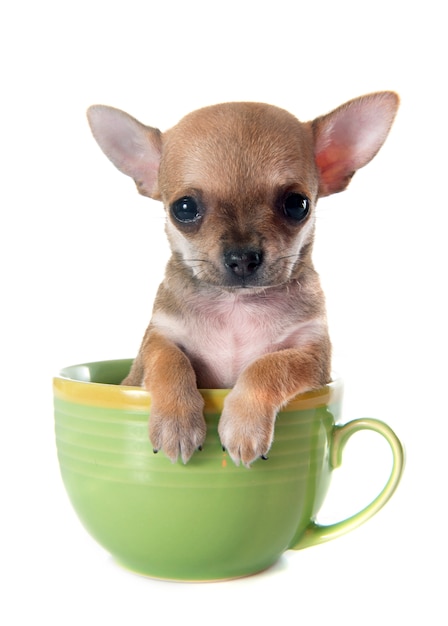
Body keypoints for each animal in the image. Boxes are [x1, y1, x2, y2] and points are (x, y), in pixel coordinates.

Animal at [87, 91, 400, 464]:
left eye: (297, 205)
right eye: (184, 208)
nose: (242, 258)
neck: (236, 305)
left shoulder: (312, 357)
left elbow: (269, 366)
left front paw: (243, 427)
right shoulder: (156, 340)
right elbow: (169, 360)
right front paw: (176, 423)